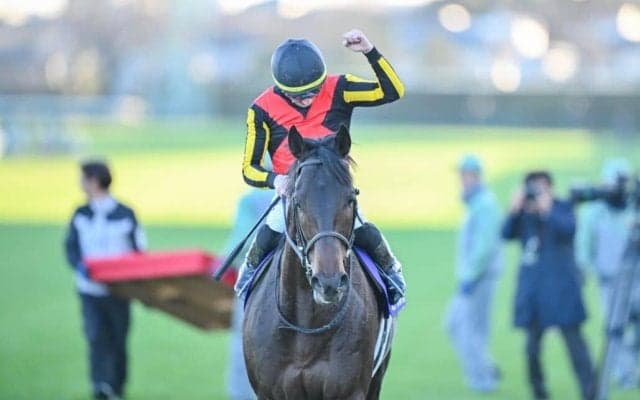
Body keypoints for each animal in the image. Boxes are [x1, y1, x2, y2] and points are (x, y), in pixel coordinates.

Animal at [242, 125, 392, 400]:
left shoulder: (350, 390)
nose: (328, 283)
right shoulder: (268, 391)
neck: (306, 326)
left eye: (350, 199)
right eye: (298, 202)